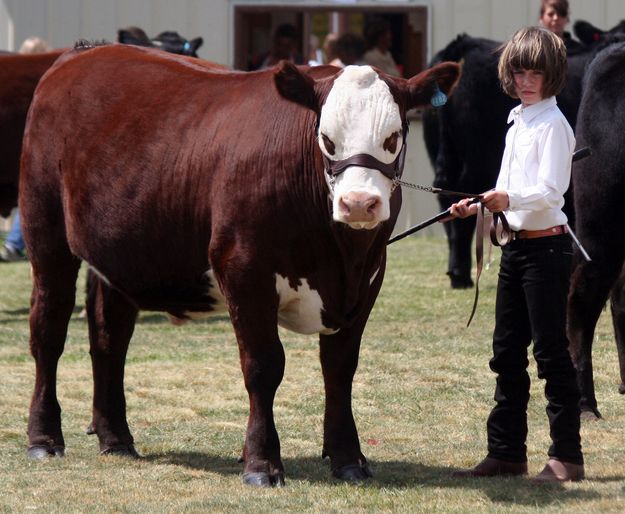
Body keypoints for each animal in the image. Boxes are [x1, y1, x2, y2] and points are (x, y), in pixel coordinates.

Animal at [20, 44, 458, 484]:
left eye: (393, 137)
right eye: (327, 139)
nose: (359, 203)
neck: (339, 255)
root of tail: (82, 53)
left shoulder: (367, 281)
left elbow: (340, 368)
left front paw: (349, 459)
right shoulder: (244, 271)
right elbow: (264, 366)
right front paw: (262, 463)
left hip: (122, 258)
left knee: (109, 338)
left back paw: (116, 438)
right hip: (46, 236)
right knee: (48, 330)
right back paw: (44, 439)